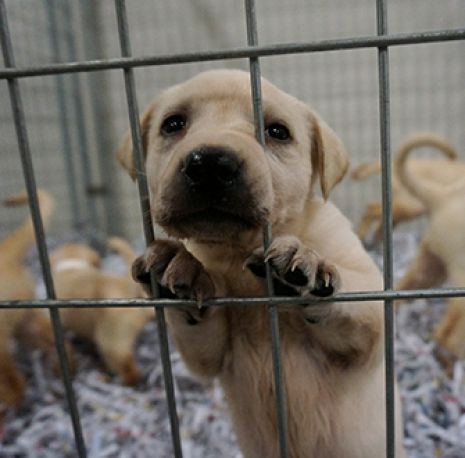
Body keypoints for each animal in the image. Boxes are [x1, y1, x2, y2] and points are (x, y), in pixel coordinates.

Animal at [117, 70, 406, 456]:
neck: (240, 252)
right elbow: (200, 329)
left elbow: (354, 304)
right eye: (173, 124)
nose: (210, 164)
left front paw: (305, 264)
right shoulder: (208, 353)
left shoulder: (371, 324)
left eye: (278, 131)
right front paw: (178, 268)